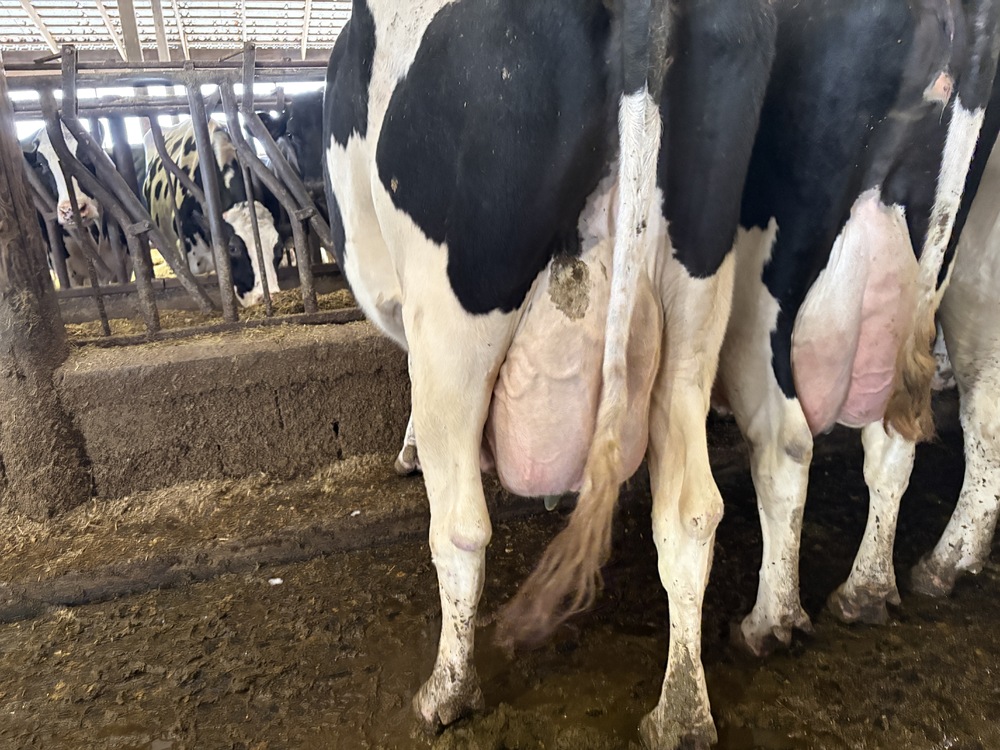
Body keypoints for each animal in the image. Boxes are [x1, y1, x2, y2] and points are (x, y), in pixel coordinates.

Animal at [324, 1, 776, 747]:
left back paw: (446, 692)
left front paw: (409, 450)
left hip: (456, 317)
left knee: (461, 527)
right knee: (690, 513)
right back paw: (680, 713)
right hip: (695, 307)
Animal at [712, 0, 1000, 658]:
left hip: (765, 292)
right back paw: (891, 581)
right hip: (952, 260)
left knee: (787, 444)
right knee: (939, 422)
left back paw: (772, 621)